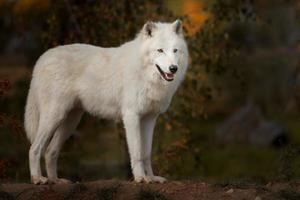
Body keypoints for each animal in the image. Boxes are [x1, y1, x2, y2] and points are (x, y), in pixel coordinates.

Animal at [24, 19, 188, 184]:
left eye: (175, 50)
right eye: (160, 50)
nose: (173, 68)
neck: (146, 75)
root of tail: (41, 59)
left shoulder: (149, 119)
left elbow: (146, 153)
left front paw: (152, 178)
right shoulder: (131, 116)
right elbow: (137, 152)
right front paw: (141, 178)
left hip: (70, 122)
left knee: (50, 151)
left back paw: (56, 181)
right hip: (54, 117)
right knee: (34, 148)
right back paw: (38, 178)